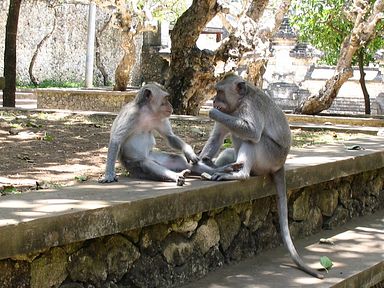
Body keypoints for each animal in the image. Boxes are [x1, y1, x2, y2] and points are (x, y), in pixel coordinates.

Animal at [201, 74, 324, 280]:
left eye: (220, 92)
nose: (214, 100)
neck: (239, 103)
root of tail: (281, 164)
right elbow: (217, 137)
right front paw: (199, 160)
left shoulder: (250, 107)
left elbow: (252, 131)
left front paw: (212, 112)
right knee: (230, 150)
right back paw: (220, 166)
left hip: (271, 156)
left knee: (253, 141)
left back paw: (239, 174)